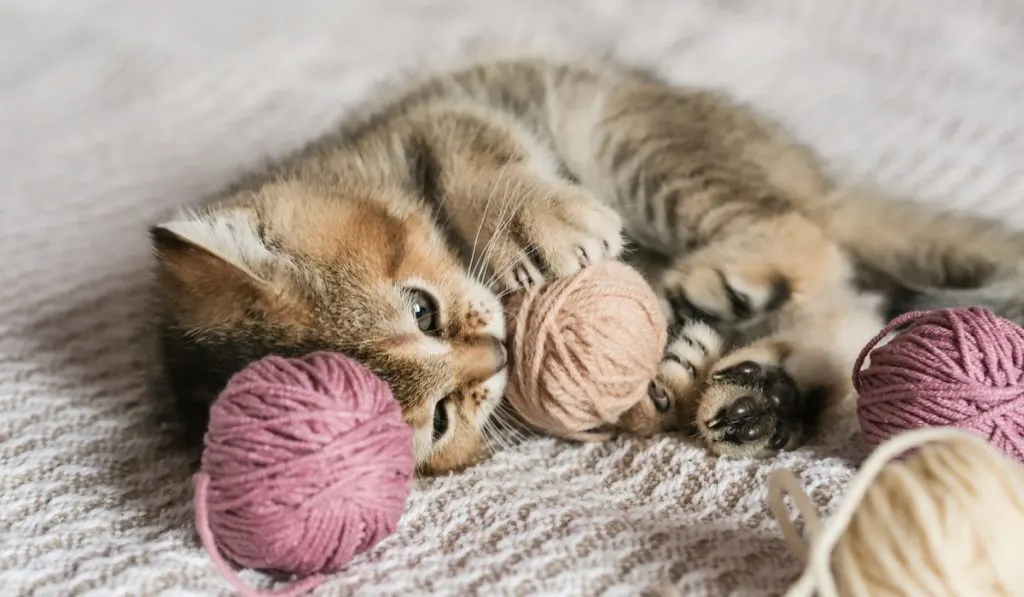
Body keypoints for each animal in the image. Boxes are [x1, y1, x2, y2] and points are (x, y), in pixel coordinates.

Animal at [148, 57, 1024, 477]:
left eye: (421, 308)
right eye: (439, 420)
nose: (495, 353)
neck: (351, 170)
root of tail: (816, 175)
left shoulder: (438, 117)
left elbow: (475, 158)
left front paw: (540, 224)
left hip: (618, 131)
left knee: (813, 240)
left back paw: (718, 289)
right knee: (845, 304)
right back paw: (754, 394)